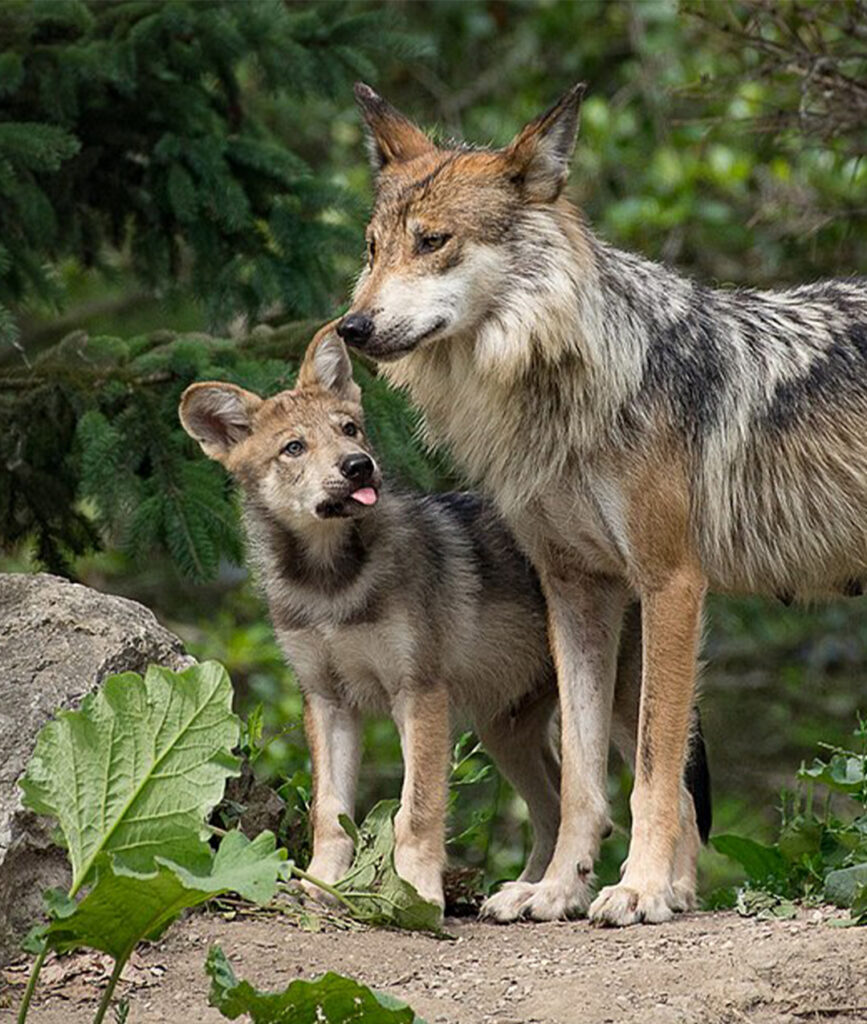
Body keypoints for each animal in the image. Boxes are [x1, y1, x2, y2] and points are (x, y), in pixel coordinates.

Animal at [179, 327, 711, 913]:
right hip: (506, 731)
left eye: (349, 429)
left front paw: (416, 892)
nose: (358, 466)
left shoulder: (419, 692)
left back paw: (669, 891)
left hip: (619, 711)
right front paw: (321, 886)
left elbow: (416, 811)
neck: (331, 585)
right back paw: (527, 891)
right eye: (294, 447)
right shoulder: (326, 700)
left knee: (674, 798)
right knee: (558, 808)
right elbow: (330, 815)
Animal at [336, 81, 867, 926]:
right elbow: (585, 779)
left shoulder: (671, 584)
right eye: (371, 247)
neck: (564, 390)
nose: (352, 326)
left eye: (433, 242)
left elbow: (653, 768)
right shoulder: (577, 590)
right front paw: (557, 889)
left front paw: (640, 889)